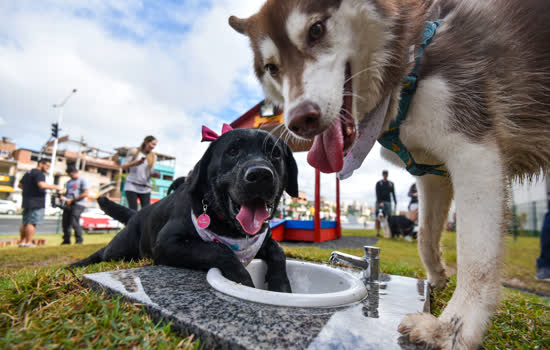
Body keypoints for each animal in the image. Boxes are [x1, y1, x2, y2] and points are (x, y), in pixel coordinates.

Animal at [73, 129, 300, 292]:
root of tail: (137, 213)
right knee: (102, 253)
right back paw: (75, 265)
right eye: (233, 152)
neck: (233, 231)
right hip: (120, 248)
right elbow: (219, 249)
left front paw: (281, 286)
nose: (260, 174)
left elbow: (279, 252)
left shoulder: (264, 240)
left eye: (275, 154)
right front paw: (244, 282)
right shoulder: (167, 243)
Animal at [230, 1, 550, 348]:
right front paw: (437, 278)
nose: (300, 121)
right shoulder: (431, 174)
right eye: (271, 67)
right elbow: (425, 235)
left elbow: (476, 257)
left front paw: (451, 330)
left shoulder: (474, 151)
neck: (410, 62)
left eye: (316, 30)